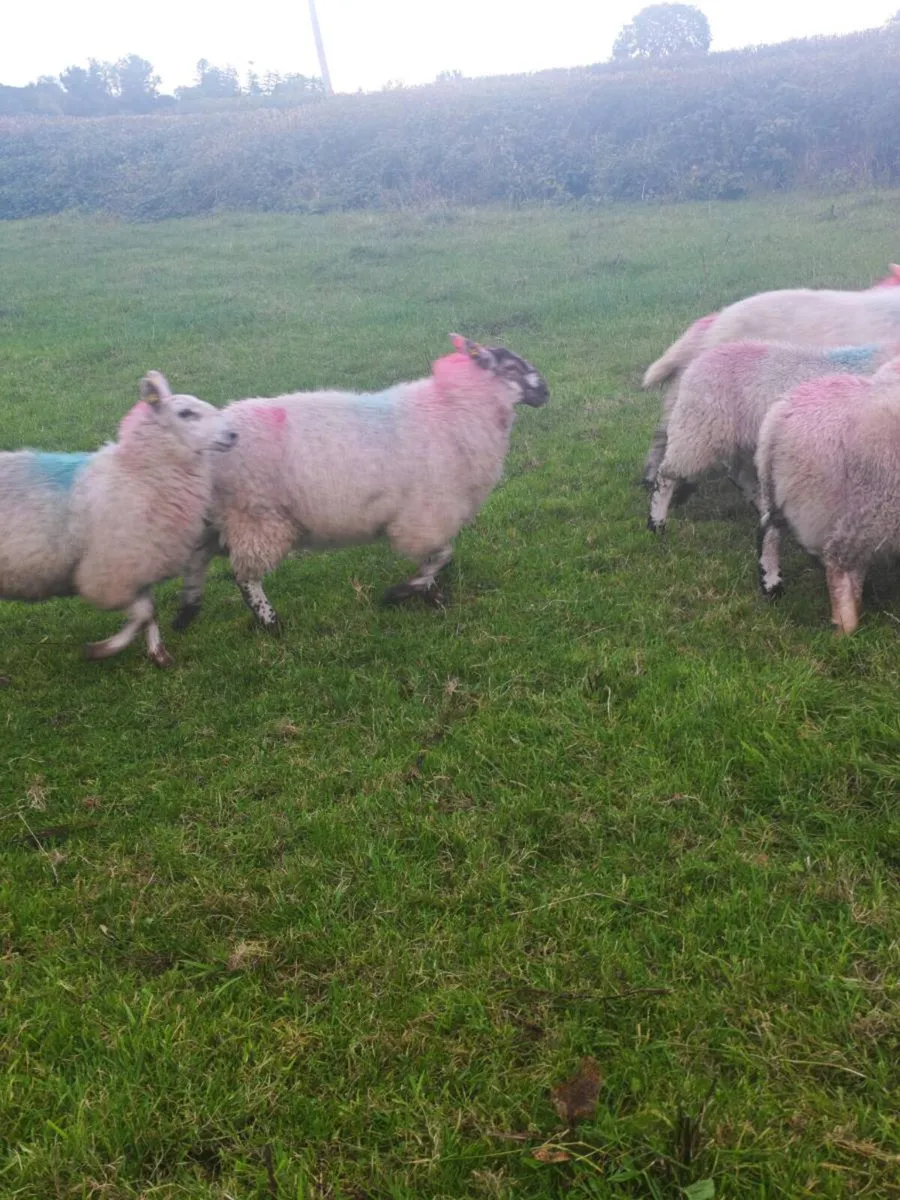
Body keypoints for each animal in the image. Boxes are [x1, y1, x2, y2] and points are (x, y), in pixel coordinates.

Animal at [0, 372, 237, 666]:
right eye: (185, 413)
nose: (233, 434)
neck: (138, 472)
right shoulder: (110, 573)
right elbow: (143, 612)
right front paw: (102, 649)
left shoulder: (139, 564)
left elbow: (150, 610)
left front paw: (158, 655)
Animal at [174, 334, 549, 631]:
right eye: (511, 367)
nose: (545, 391)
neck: (457, 409)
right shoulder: (427, 513)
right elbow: (440, 555)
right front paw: (406, 592)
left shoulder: (425, 517)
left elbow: (435, 557)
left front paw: (427, 595)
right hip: (255, 516)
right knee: (245, 576)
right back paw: (270, 622)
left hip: (219, 515)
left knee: (197, 557)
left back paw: (187, 611)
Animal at [646, 339, 900, 533]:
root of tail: (698, 361)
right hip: (698, 429)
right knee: (667, 473)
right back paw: (657, 523)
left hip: (743, 440)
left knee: (741, 477)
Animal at [754, 355, 900, 634]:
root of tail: (780, 418)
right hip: (867, 504)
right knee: (840, 562)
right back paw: (847, 625)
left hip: (778, 489)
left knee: (769, 531)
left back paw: (772, 584)